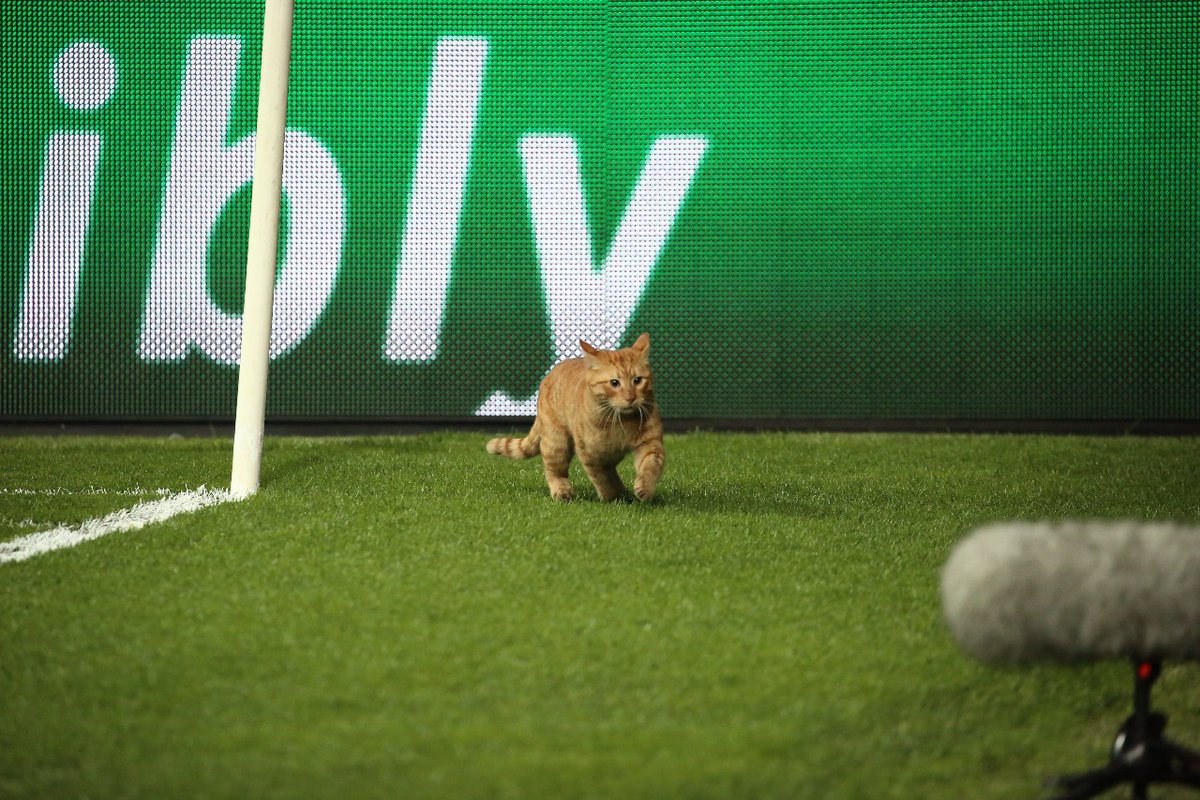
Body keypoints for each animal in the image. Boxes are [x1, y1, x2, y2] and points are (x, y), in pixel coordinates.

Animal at [487, 331, 667, 501]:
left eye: (637, 380)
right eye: (614, 383)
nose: (631, 398)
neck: (622, 421)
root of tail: (549, 374)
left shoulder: (650, 443)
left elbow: (650, 466)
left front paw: (644, 487)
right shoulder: (591, 455)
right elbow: (603, 479)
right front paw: (611, 497)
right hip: (557, 443)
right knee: (554, 471)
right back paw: (562, 491)